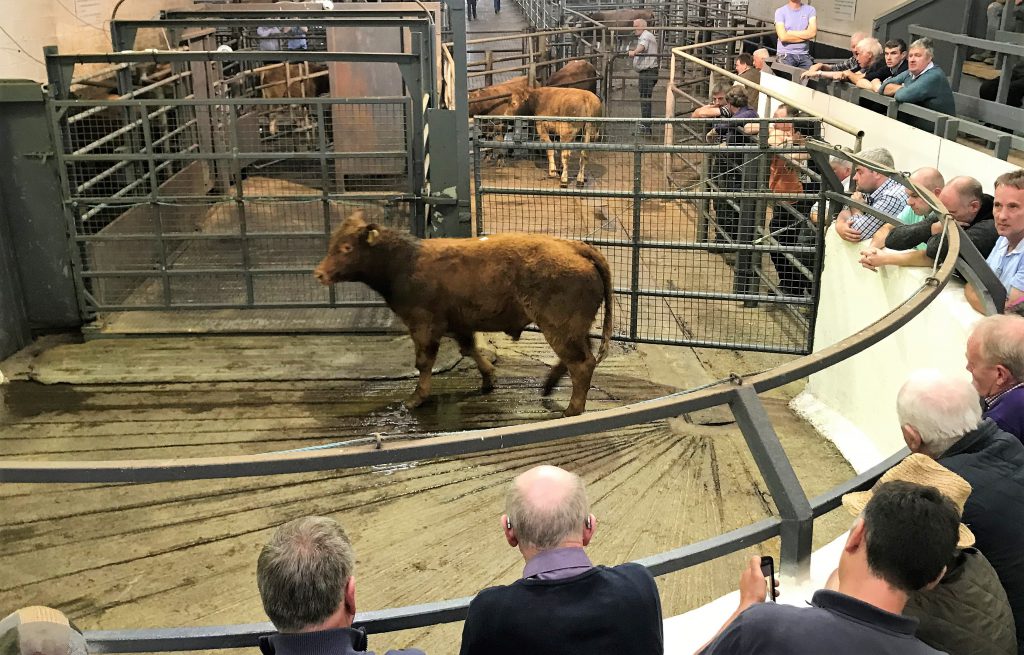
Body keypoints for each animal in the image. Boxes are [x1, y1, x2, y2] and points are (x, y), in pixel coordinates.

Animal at [313, 210, 614, 416]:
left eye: (346, 247)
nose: (319, 273)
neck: (405, 261)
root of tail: (574, 246)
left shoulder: (423, 325)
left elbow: (424, 362)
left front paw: (416, 398)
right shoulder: (458, 323)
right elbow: (469, 349)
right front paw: (489, 378)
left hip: (559, 326)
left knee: (581, 363)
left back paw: (572, 409)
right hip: (573, 327)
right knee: (581, 354)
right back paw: (549, 385)